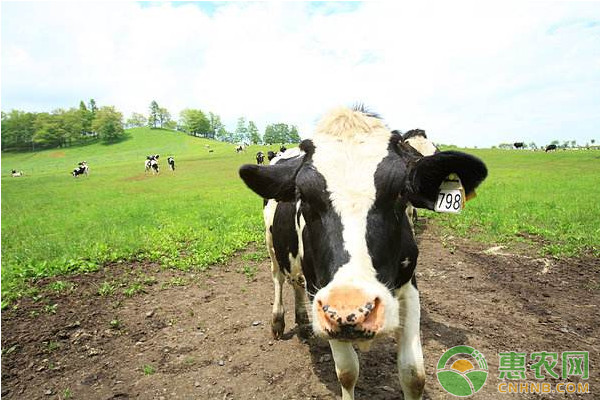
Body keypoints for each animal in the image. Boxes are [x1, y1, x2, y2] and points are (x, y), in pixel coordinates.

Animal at [237, 106, 486, 400]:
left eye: (401, 192)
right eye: (303, 196)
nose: (353, 308)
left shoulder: (409, 285)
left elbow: (414, 374)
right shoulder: (322, 296)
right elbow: (347, 371)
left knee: (295, 282)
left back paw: (302, 320)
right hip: (271, 244)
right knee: (278, 277)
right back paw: (278, 321)